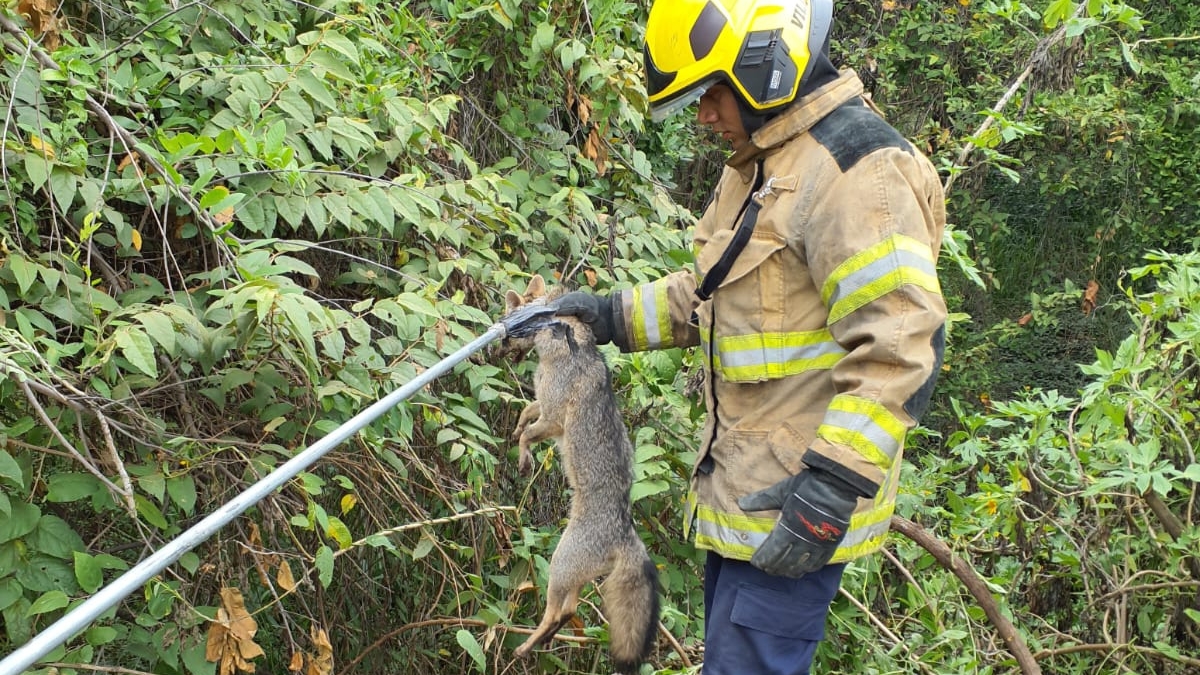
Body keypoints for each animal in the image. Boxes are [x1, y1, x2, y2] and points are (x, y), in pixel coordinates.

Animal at [501, 276, 660, 674]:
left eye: (507, 312)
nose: (494, 348)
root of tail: (627, 533)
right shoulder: (542, 401)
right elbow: (526, 413)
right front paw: (517, 431)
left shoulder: (555, 418)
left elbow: (529, 432)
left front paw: (524, 457)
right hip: (573, 576)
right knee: (568, 611)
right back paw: (541, 641)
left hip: (559, 565)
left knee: (554, 611)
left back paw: (527, 645)